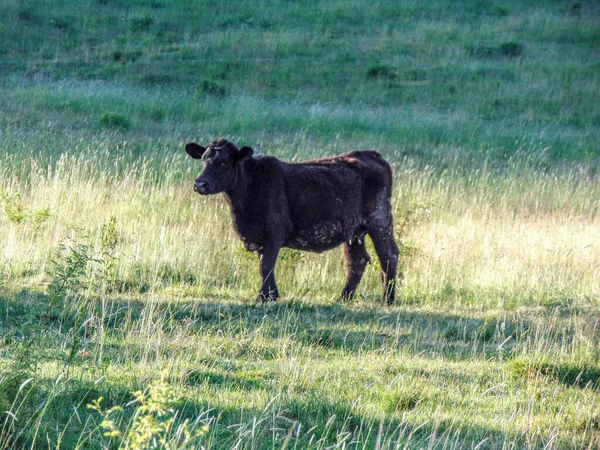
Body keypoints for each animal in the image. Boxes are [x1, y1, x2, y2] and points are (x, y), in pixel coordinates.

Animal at [185, 138, 400, 302]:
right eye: (203, 159)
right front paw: (272, 295)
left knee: (388, 256)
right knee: (357, 261)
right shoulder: (260, 237)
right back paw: (344, 297)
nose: (199, 184)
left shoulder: (275, 232)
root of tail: (371, 154)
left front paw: (263, 297)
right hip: (354, 231)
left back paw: (387, 299)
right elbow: (265, 265)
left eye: (223, 162)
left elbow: (266, 265)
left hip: (379, 220)